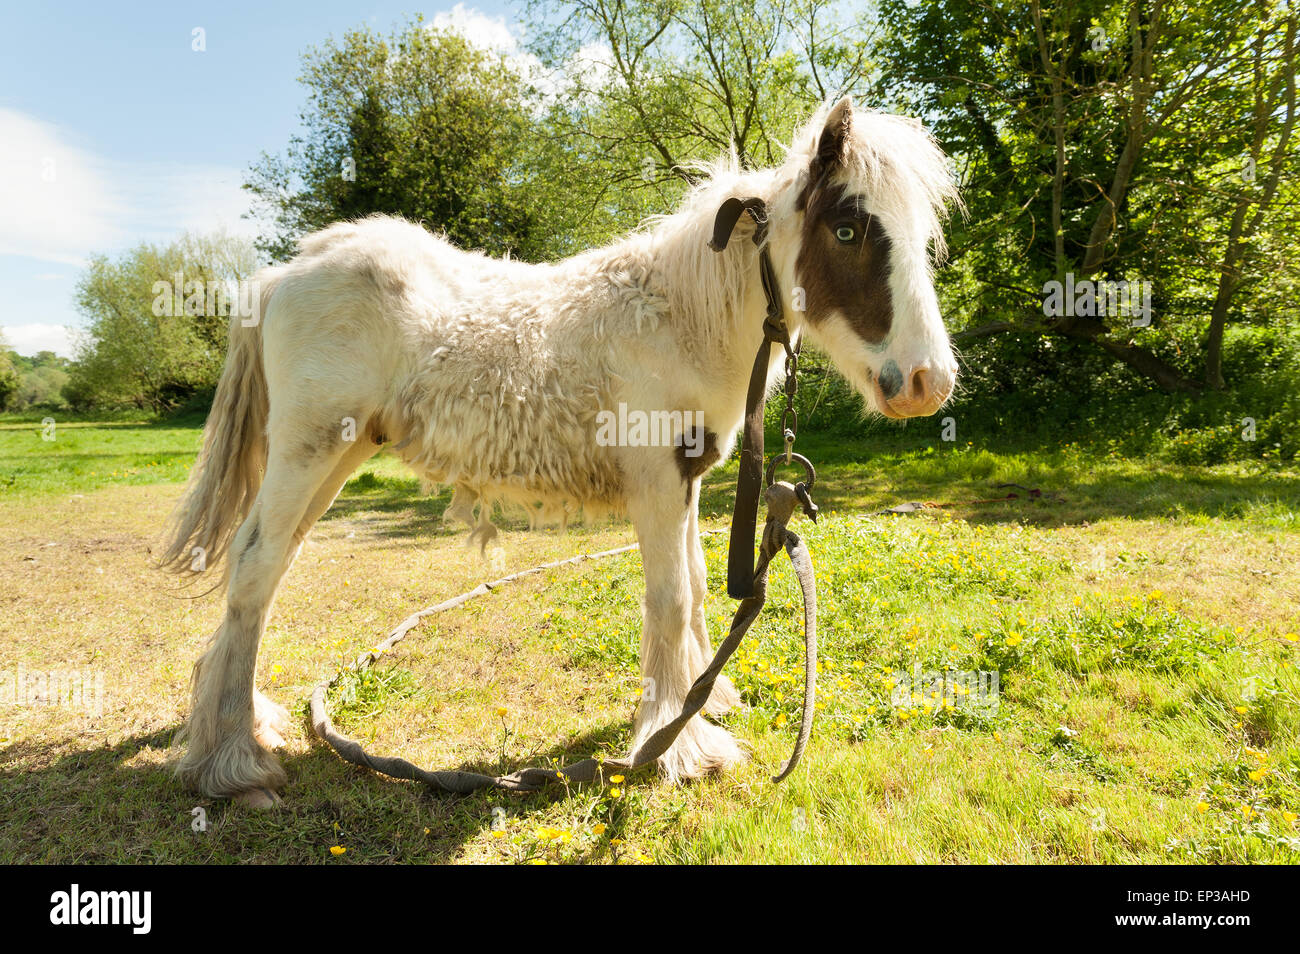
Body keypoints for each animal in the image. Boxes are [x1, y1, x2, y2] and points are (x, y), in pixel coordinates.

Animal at [159, 98, 956, 805]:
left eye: (922, 235)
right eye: (847, 229)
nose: (927, 382)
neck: (677, 319)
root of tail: (277, 278)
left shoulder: (688, 479)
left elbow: (698, 587)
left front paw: (707, 700)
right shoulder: (656, 483)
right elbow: (669, 600)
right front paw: (680, 749)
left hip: (332, 457)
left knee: (270, 564)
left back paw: (248, 729)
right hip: (309, 450)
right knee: (255, 565)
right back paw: (234, 765)